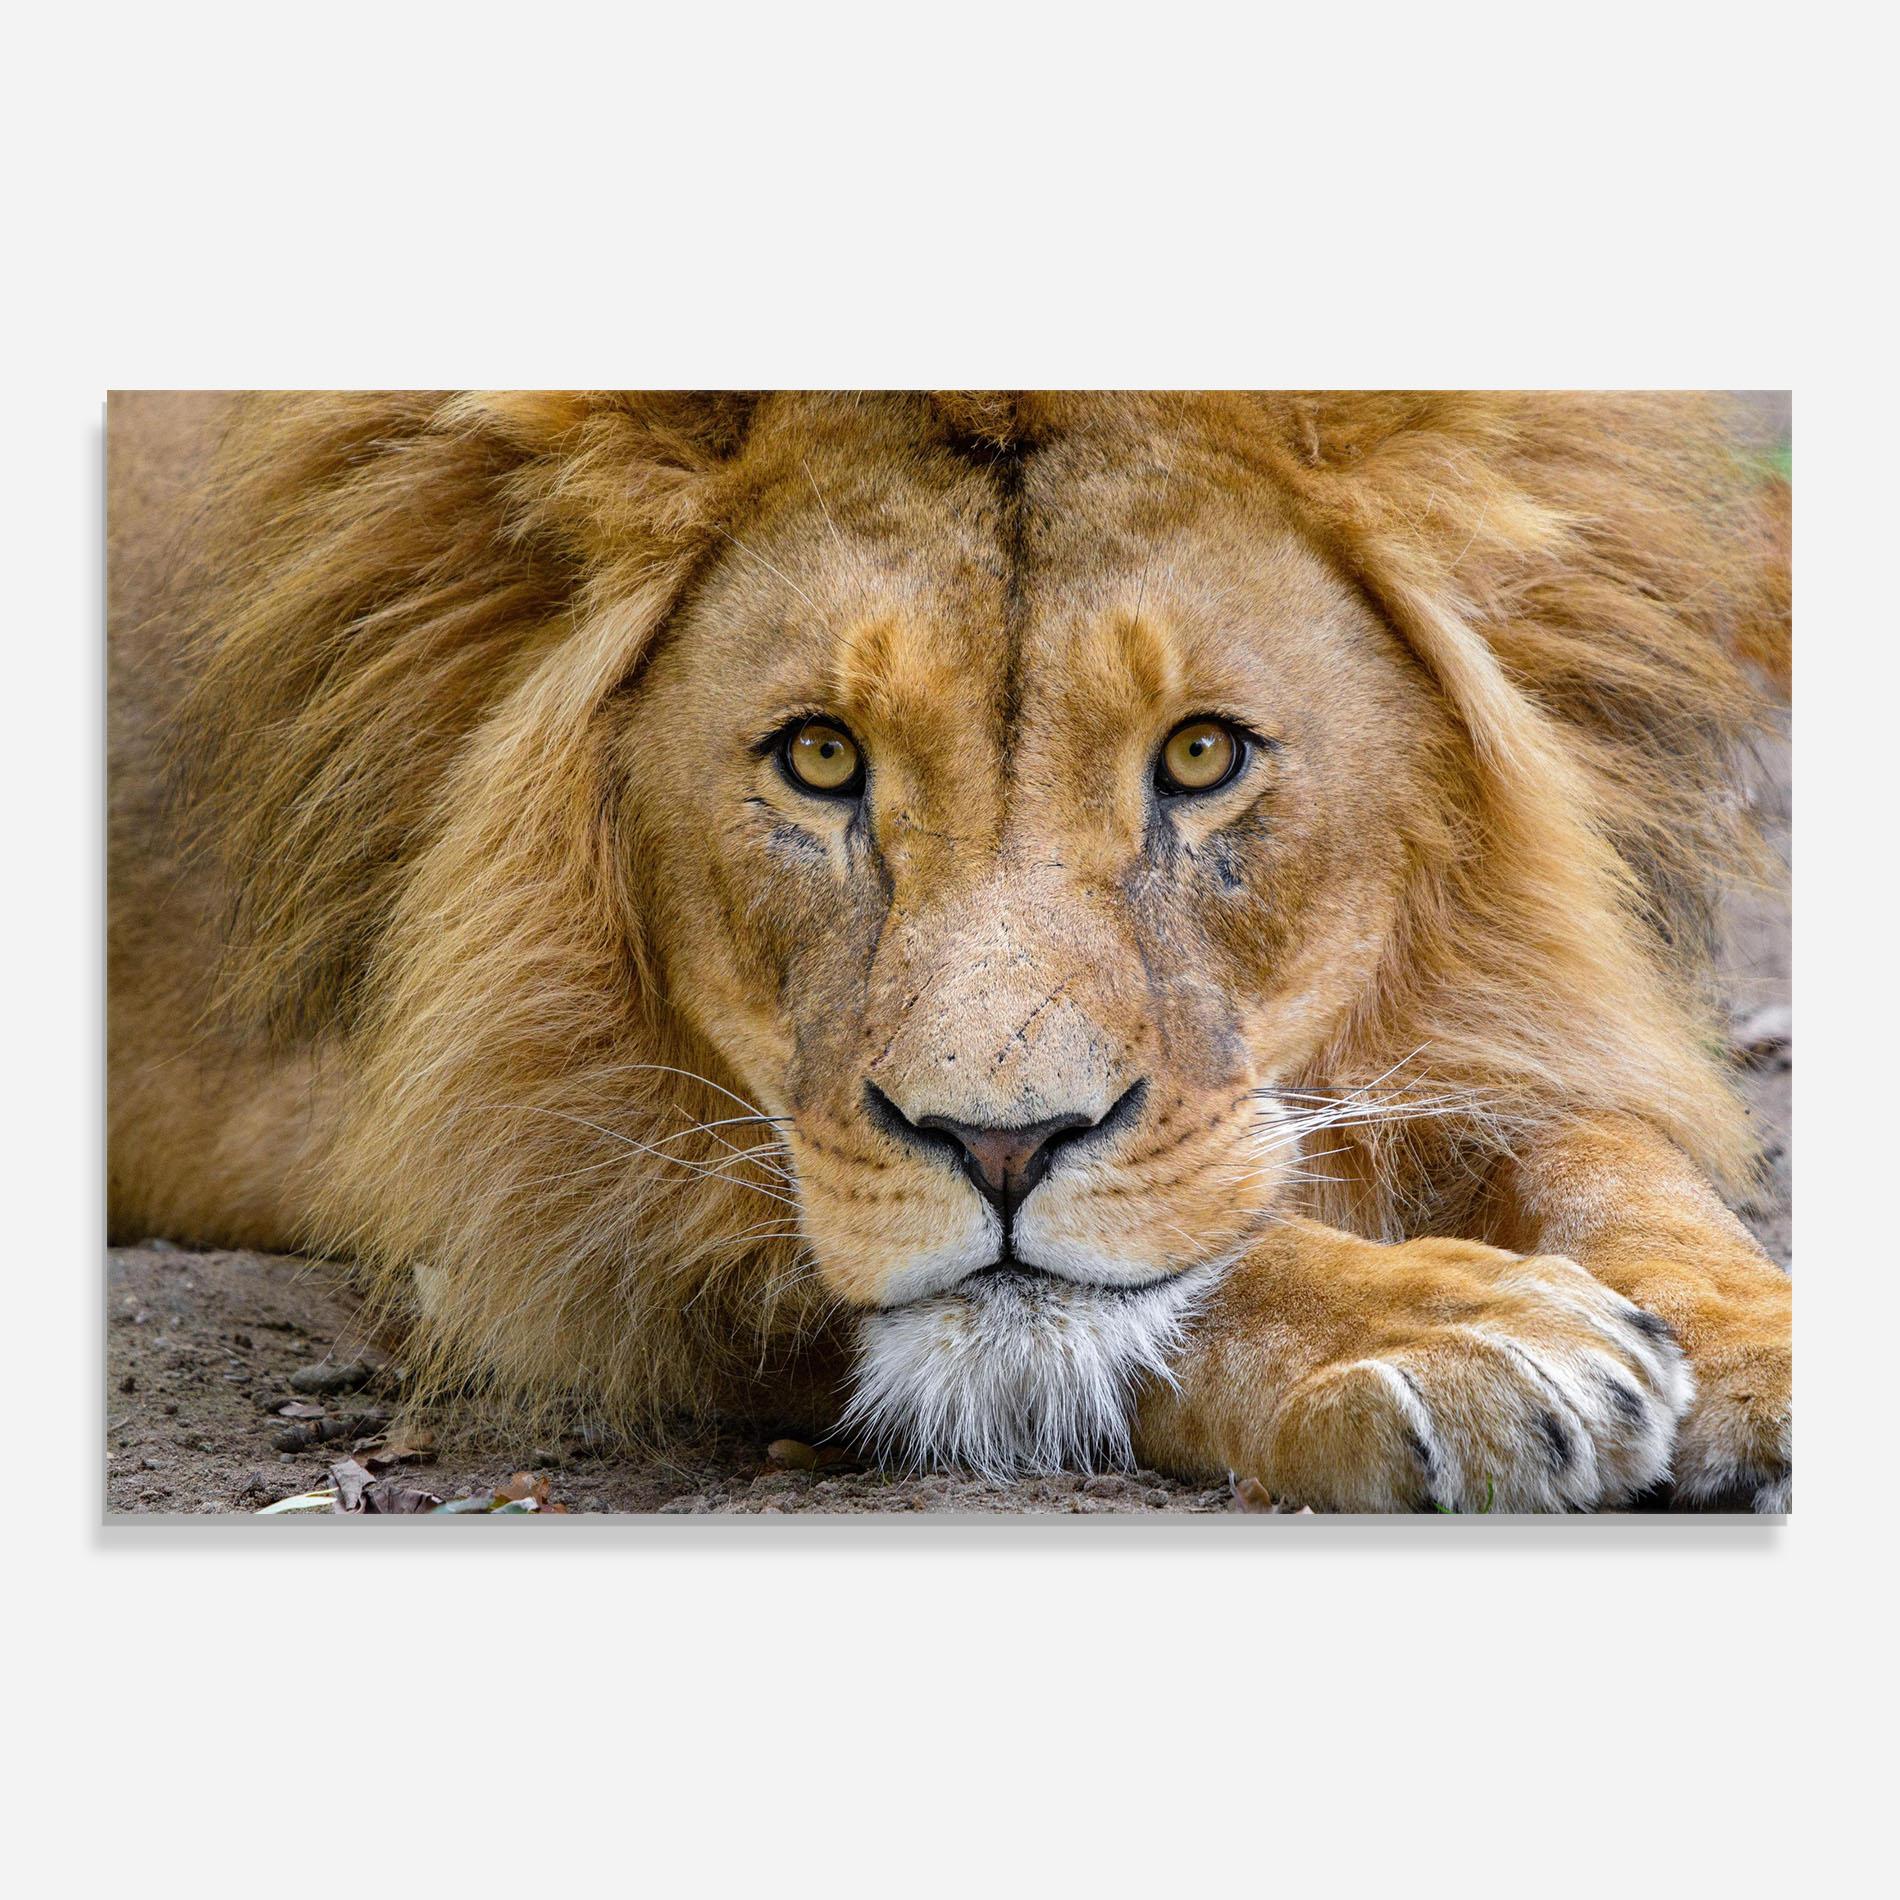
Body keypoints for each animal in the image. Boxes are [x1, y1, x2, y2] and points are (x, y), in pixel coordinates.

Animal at [106, 390, 1792, 1512]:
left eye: (1200, 756)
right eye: (820, 759)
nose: (1001, 1147)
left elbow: (1606, 1154)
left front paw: (1754, 1346)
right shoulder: (526, 1188)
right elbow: (1178, 1279)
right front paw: (1458, 1334)